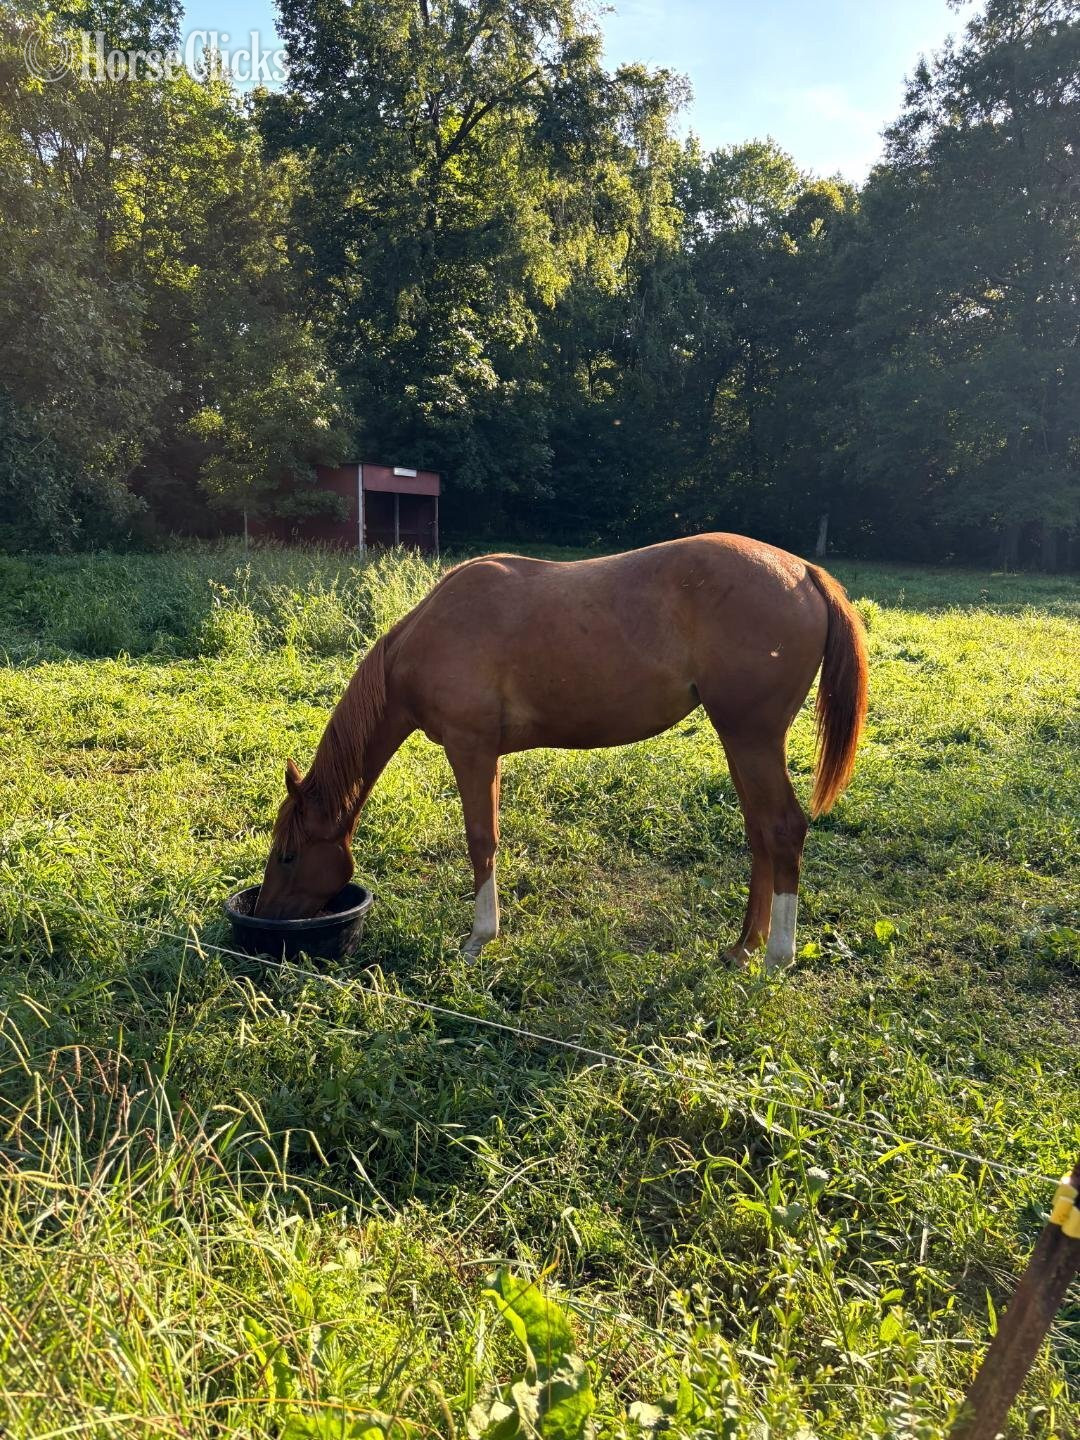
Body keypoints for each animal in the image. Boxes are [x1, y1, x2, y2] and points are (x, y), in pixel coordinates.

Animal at [254, 534, 868, 971]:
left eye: (287, 855)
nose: (265, 920)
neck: (429, 634)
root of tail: (803, 573)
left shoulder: (470, 747)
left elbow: (481, 840)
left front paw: (479, 939)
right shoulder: (487, 754)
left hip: (752, 737)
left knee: (783, 828)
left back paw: (777, 957)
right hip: (740, 741)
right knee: (760, 832)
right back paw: (742, 948)